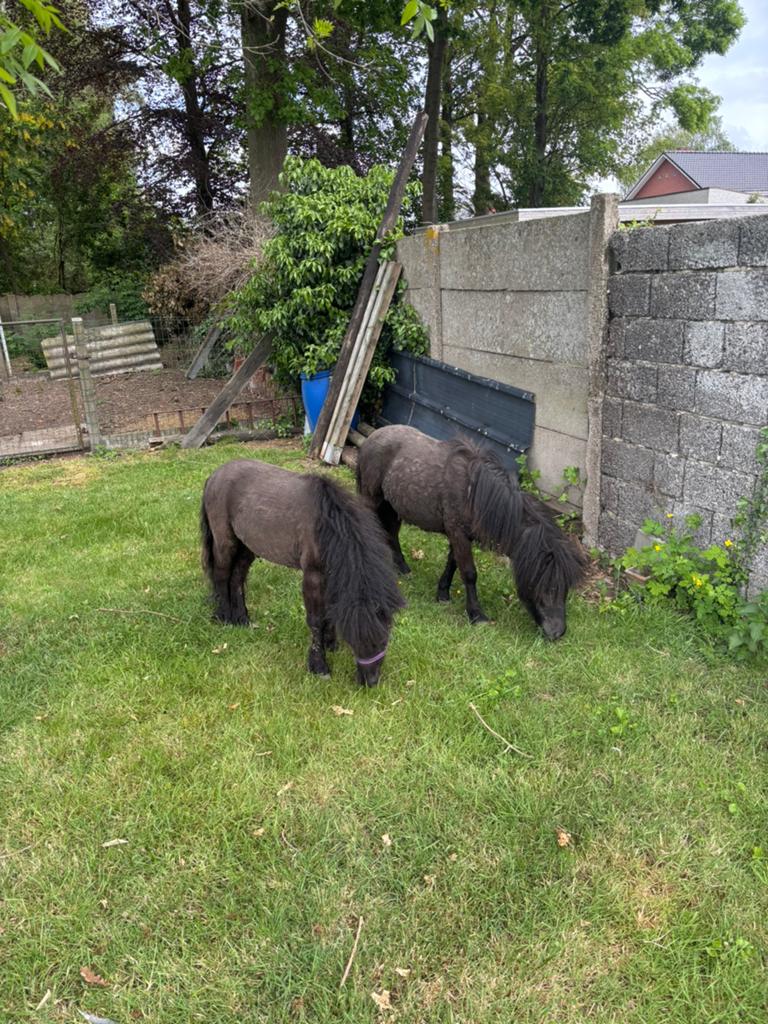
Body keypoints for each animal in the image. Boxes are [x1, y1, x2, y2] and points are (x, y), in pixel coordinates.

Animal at [201, 460, 405, 685]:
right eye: (356, 639)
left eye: (385, 637)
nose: (370, 682)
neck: (328, 524)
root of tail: (215, 475)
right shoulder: (312, 576)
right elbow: (315, 620)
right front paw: (318, 665)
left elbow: (329, 613)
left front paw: (330, 644)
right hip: (225, 542)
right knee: (221, 575)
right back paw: (224, 617)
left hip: (247, 546)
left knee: (237, 577)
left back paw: (242, 619)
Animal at [356, 425, 587, 639]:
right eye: (547, 584)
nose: (557, 632)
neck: (475, 494)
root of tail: (373, 436)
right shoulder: (458, 534)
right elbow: (469, 573)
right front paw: (476, 615)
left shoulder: (459, 535)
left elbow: (452, 564)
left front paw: (442, 594)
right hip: (372, 499)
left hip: (392, 506)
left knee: (392, 533)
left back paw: (402, 567)